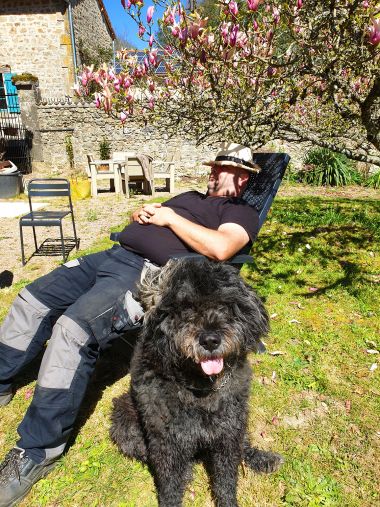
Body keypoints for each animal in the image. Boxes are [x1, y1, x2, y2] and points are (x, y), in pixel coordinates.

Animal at [110, 260, 282, 506]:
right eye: (186, 309)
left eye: (224, 305)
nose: (210, 340)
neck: (200, 386)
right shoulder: (166, 442)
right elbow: (169, 485)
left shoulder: (228, 433)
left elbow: (226, 479)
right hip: (124, 420)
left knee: (244, 445)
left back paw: (263, 459)